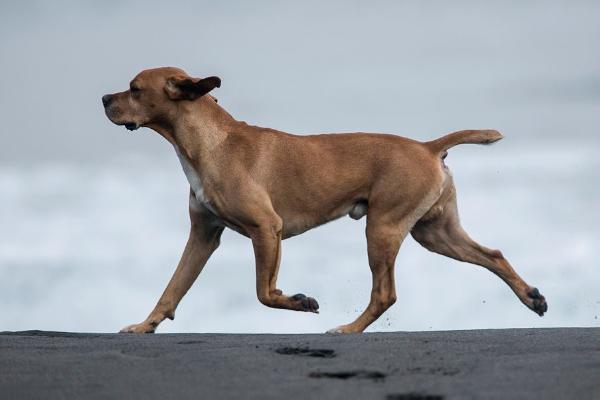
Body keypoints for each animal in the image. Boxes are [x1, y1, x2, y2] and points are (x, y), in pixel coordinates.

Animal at [102, 68, 544, 334]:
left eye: (135, 89)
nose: (104, 98)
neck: (206, 142)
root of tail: (427, 147)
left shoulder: (266, 229)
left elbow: (264, 292)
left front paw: (299, 301)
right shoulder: (203, 236)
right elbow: (172, 288)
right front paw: (145, 325)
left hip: (382, 230)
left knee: (385, 293)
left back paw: (348, 329)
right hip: (436, 233)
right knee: (493, 255)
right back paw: (531, 297)